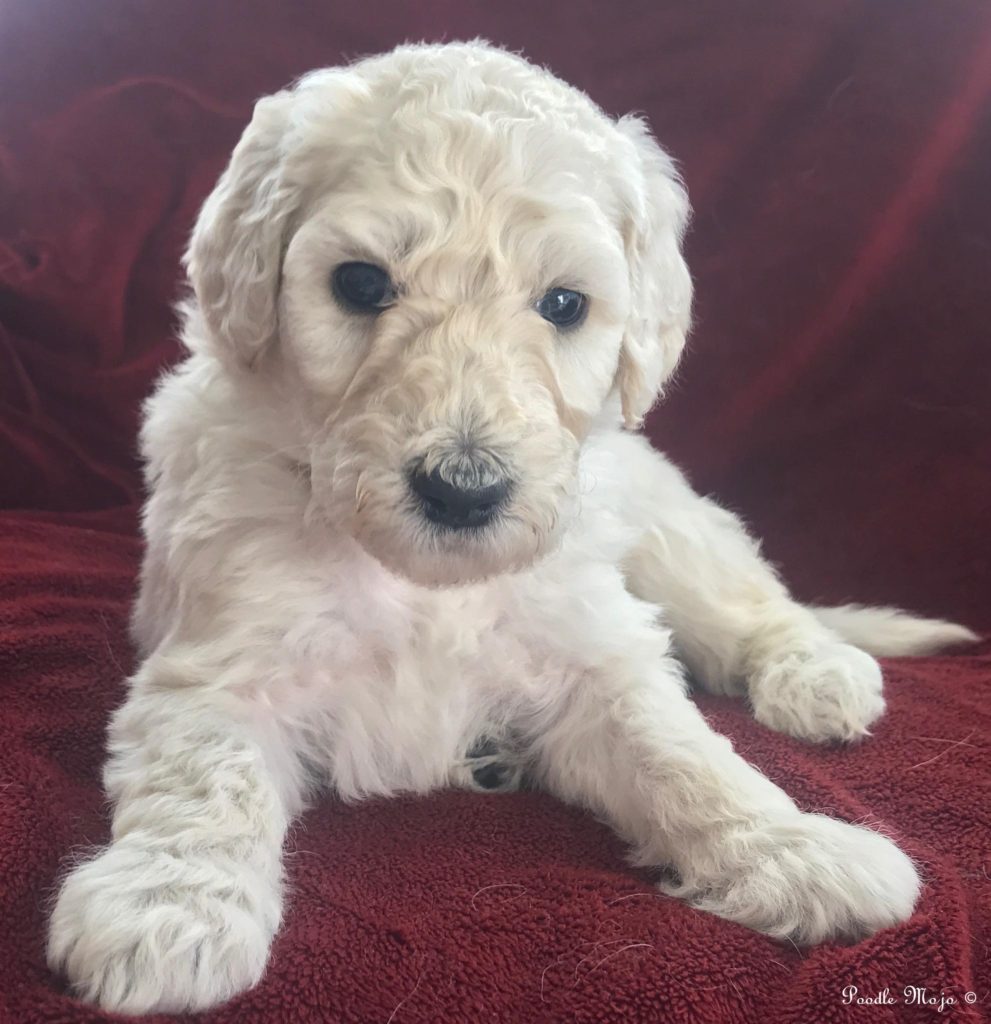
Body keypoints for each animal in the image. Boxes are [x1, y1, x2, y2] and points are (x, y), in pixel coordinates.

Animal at [46, 41, 974, 1015]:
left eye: (563, 305)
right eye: (360, 283)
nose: (463, 492)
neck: (421, 580)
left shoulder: (593, 655)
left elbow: (684, 754)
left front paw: (796, 851)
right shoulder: (217, 666)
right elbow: (204, 779)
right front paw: (167, 908)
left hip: (668, 533)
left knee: (755, 605)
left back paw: (819, 676)